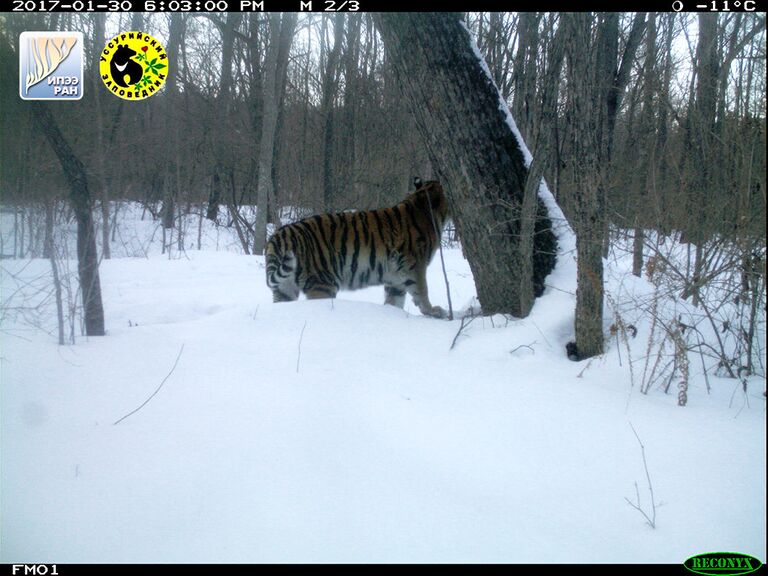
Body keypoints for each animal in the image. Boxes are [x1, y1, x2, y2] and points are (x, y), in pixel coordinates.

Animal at [268, 179, 452, 318]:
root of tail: (278, 236)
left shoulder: (396, 277)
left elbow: (395, 300)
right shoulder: (415, 266)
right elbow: (422, 290)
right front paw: (434, 311)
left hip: (284, 288)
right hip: (322, 284)